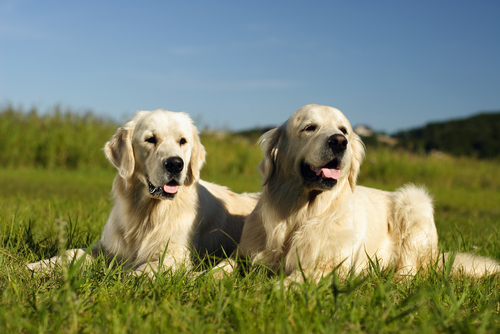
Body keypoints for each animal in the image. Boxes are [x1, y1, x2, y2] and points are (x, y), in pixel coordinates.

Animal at [27, 109, 260, 276]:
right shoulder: (106, 246)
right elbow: (71, 253)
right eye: (151, 139)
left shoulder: (177, 255)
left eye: (182, 141)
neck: (146, 212)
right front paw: (37, 266)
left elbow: (147, 267)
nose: (176, 164)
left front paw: (124, 277)